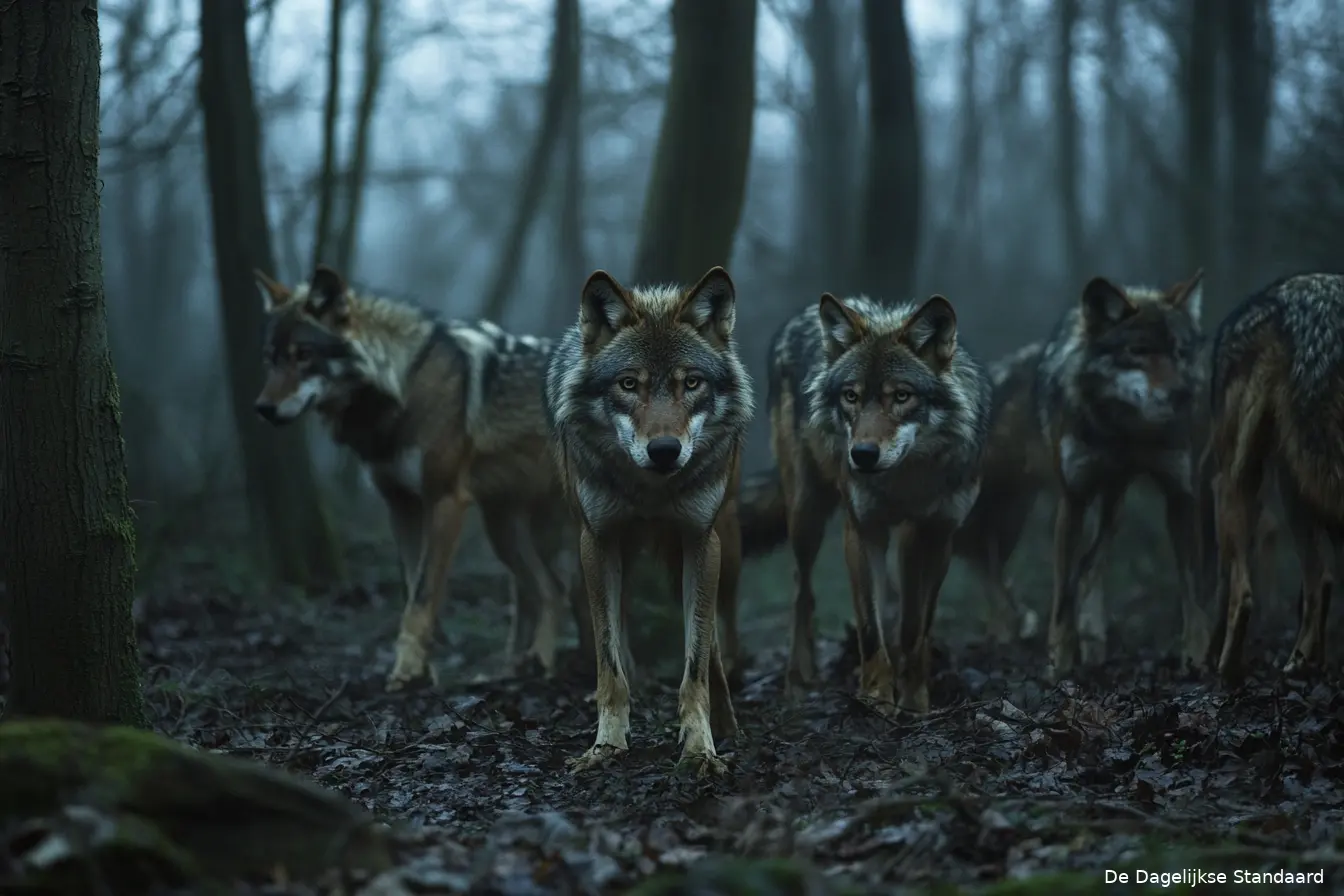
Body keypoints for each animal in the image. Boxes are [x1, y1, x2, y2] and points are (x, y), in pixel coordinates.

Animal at [252, 264, 590, 691]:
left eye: (304, 356)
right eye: (271, 360)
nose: (263, 408)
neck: (404, 384)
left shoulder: (445, 502)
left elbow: (423, 598)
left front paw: (407, 670)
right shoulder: (401, 505)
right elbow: (411, 589)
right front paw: (422, 671)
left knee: (560, 590)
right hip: (504, 529)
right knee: (547, 590)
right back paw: (526, 666)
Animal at [545, 266, 752, 776]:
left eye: (691, 383)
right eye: (628, 384)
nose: (664, 451)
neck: (650, 491)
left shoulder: (700, 542)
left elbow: (696, 659)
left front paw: (701, 747)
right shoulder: (598, 542)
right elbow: (609, 659)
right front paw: (606, 744)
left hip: (722, 547)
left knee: (718, 640)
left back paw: (727, 719)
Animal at [764, 291, 991, 715]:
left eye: (901, 395)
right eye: (851, 396)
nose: (863, 455)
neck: (907, 480)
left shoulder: (937, 536)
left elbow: (916, 629)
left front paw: (915, 702)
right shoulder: (862, 531)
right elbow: (871, 630)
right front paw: (876, 701)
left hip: (902, 543)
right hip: (806, 514)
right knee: (803, 593)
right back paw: (797, 682)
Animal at [1033, 270, 1206, 680]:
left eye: (1179, 352)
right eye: (1139, 351)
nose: (1184, 393)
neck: (1127, 433)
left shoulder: (1180, 498)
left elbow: (1193, 595)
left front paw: (1196, 662)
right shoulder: (1074, 500)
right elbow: (1062, 596)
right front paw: (1059, 665)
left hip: (1115, 507)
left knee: (1094, 563)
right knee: (1086, 568)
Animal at [1201, 273, 1344, 685]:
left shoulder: (1226, 483)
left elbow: (1224, 588)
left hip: (1257, 484)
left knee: (1248, 595)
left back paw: (1231, 668)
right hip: (1297, 482)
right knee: (1322, 579)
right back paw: (1303, 662)